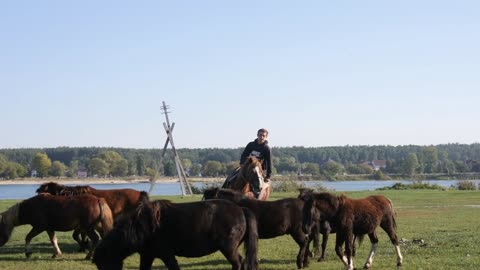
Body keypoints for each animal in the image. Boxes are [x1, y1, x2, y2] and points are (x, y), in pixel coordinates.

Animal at [92, 197, 260, 268]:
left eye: (103, 264)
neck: (141, 227)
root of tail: (241, 209)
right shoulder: (147, 255)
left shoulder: (166, 255)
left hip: (228, 248)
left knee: (238, 263)